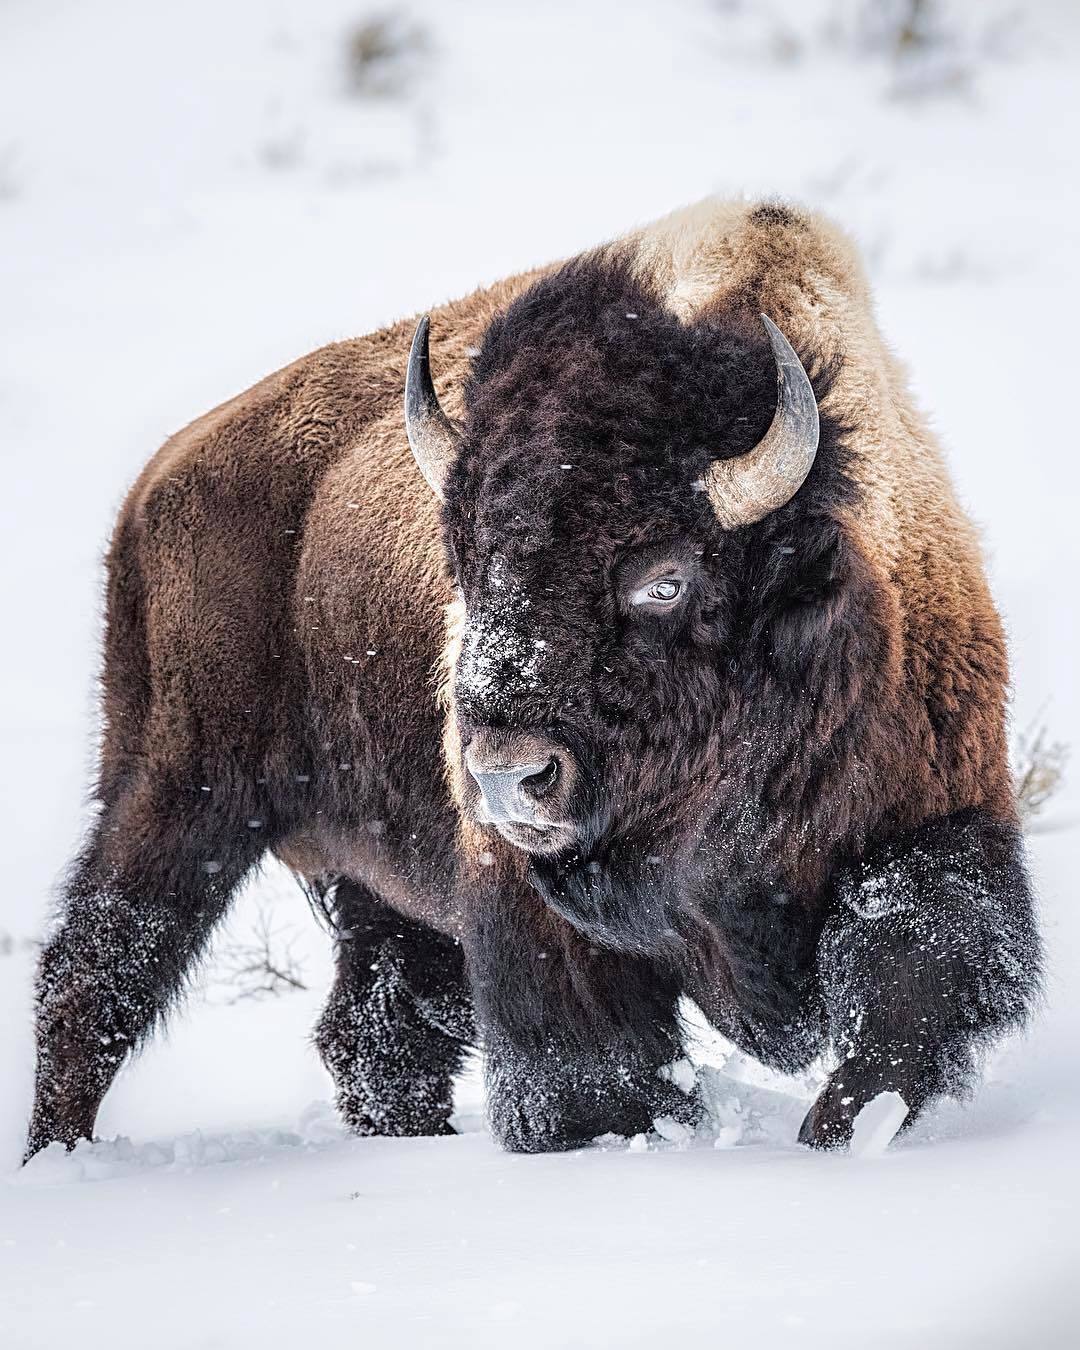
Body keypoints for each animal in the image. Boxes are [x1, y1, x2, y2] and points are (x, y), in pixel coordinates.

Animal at [23, 199, 1036, 1161]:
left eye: (663, 578)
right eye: (465, 562)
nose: (509, 776)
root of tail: (159, 480)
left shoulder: (931, 823)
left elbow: (911, 990)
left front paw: (842, 1134)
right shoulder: (529, 905)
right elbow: (587, 1072)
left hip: (372, 879)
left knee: (372, 1029)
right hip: (177, 788)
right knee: (94, 975)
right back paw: (56, 1155)